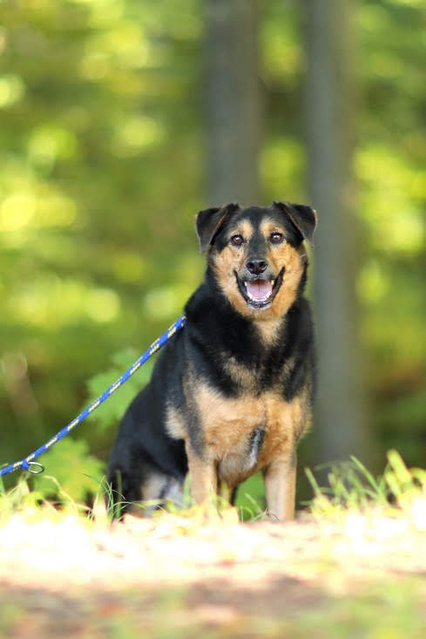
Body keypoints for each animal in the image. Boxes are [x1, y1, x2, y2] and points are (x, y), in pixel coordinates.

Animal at [108, 202, 318, 524]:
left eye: (277, 236)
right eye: (236, 239)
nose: (256, 265)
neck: (258, 333)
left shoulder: (283, 458)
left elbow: (282, 516)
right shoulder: (203, 453)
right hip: (138, 494)